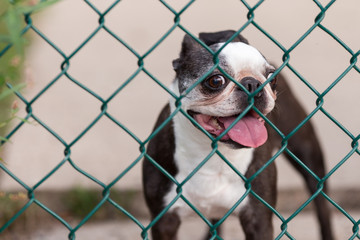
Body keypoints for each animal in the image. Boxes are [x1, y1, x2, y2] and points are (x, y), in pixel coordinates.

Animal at [142, 30, 334, 240]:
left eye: (272, 78)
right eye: (216, 81)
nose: (253, 84)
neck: (213, 155)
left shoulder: (258, 218)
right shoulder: (164, 220)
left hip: (309, 157)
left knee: (322, 207)